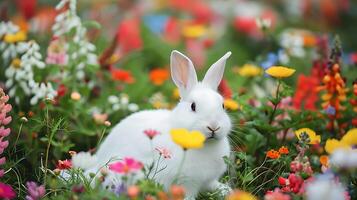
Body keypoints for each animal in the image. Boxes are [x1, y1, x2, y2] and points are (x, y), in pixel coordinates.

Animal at [89, 50, 231, 198]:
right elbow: (188, 195)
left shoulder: (208, 180)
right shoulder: (187, 183)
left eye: (223, 105)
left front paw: (227, 191)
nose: (213, 127)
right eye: (193, 106)